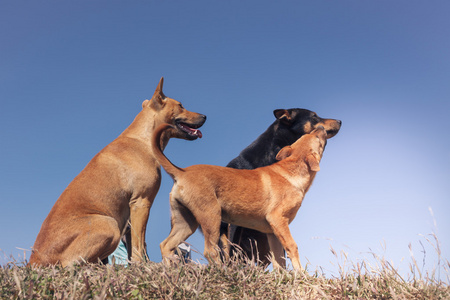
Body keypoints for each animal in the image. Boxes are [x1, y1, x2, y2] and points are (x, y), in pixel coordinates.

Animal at [29, 78, 208, 268]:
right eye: (181, 106)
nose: (204, 116)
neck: (142, 138)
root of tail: (34, 260)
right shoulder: (141, 202)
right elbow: (139, 242)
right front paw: (141, 264)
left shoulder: (130, 213)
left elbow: (135, 245)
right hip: (108, 224)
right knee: (71, 264)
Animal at [153, 122, 328, 270]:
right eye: (317, 138)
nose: (320, 127)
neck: (291, 170)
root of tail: (181, 172)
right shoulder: (278, 219)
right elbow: (292, 247)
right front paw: (301, 275)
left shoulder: (273, 232)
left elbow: (279, 261)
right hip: (211, 216)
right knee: (210, 251)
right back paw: (222, 271)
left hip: (186, 222)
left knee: (165, 245)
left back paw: (170, 269)